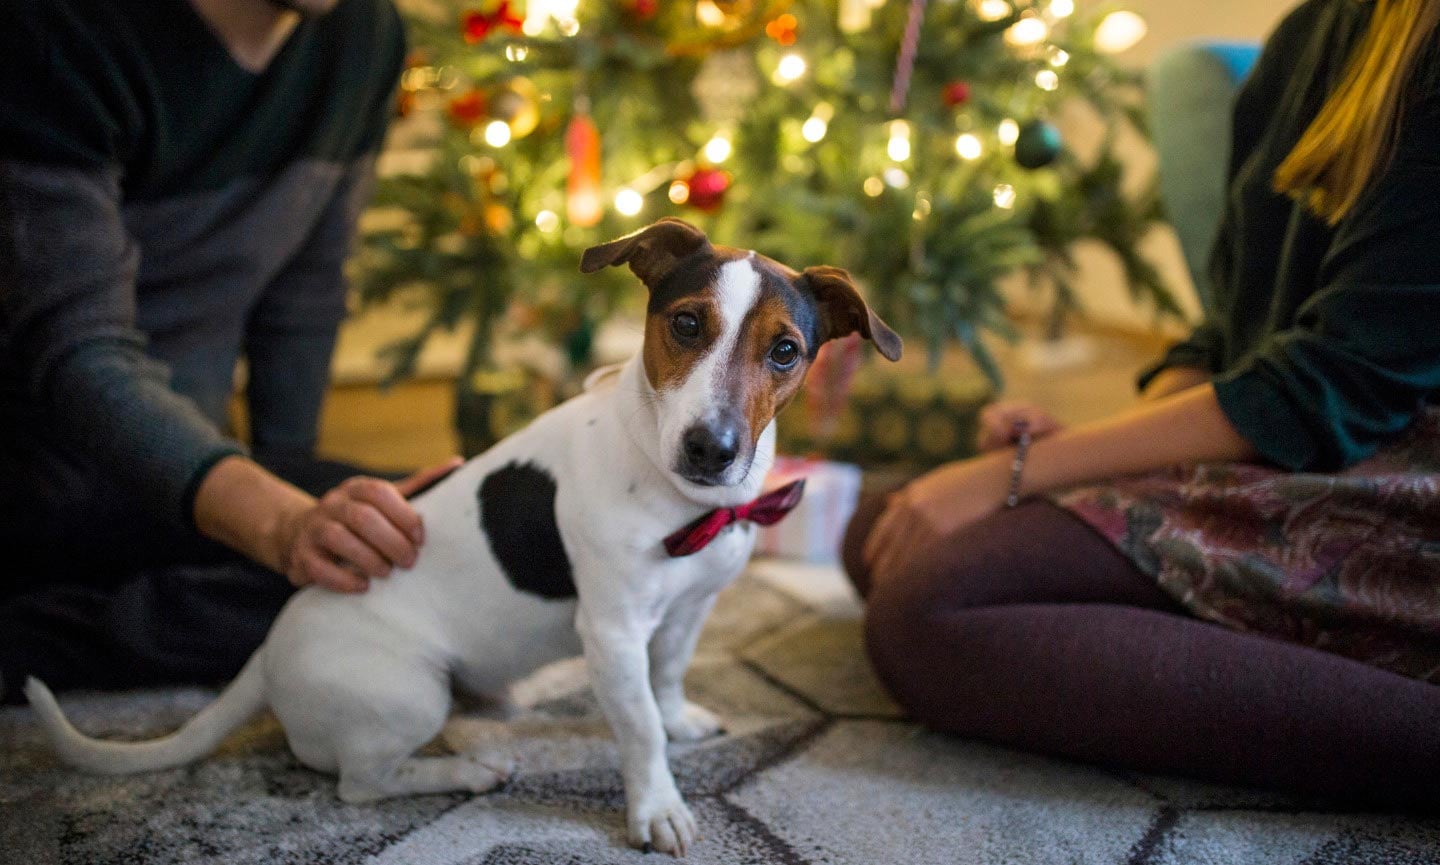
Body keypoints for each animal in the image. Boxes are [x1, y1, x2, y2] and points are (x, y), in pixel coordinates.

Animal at [22, 217, 898, 857]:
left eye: (785, 350)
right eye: (686, 323)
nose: (711, 449)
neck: (676, 492)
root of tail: (268, 655)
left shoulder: (689, 608)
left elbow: (669, 679)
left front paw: (681, 718)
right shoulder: (611, 630)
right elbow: (637, 723)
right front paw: (657, 806)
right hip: (409, 692)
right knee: (361, 781)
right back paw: (470, 767)